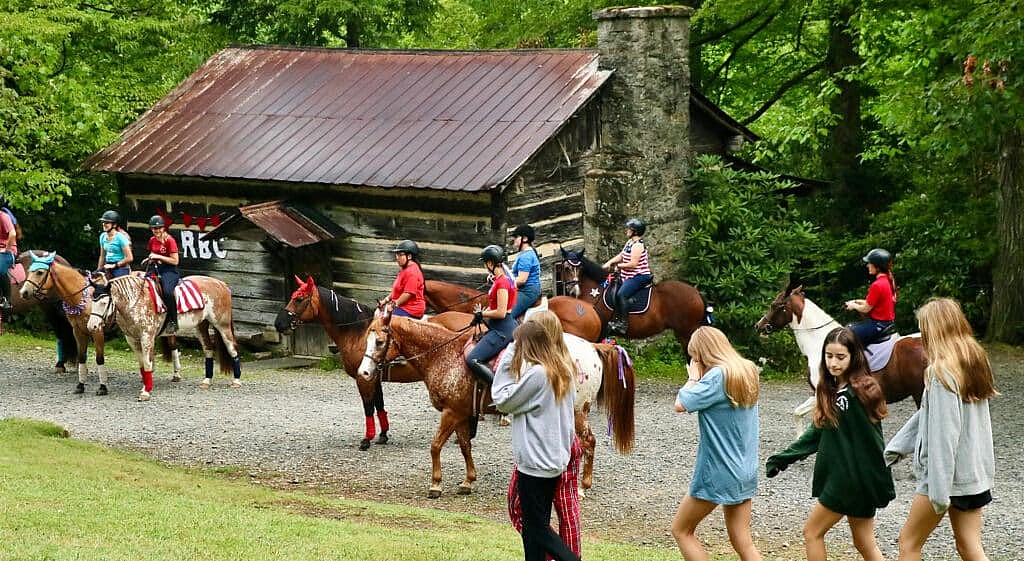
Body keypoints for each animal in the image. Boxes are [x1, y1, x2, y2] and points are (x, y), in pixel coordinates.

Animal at [18, 251, 118, 395]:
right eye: (29, 270)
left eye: (40, 272)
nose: (24, 292)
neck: (83, 297)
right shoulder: (78, 331)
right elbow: (81, 357)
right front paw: (80, 385)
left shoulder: (97, 331)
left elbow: (99, 358)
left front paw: (102, 387)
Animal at [86, 272, 241, 401]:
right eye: (92, 301)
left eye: (104, 302)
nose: (91, 326)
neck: (136, 301)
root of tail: (222, 284)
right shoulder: (132, 340)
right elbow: (142, 365)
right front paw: (145, 387)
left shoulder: (147, 337)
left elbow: (148, 363)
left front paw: (146, 392)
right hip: (201, 326)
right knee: (208, 350)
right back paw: (207, 381)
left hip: (222, 325)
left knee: (232, 349)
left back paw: (236, 381)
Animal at [274, 276, 476, 450]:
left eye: (299, 299)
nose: (278, 324)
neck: (358, 332)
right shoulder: (373, 376)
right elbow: (379, 405)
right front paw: (383, 435)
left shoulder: (363, 379)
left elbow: (368, 407)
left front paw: (367, 439)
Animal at [357, 312, 636, 498]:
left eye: (379, 342)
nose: (364, 372)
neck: (444, 354)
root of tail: (592, 347)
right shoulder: (461, 413)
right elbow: (465, 447)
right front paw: (468, 481)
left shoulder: (451, 412)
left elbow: (435, 446)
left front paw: (436, 484)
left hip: (577, 412)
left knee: (589, 443)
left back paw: (581, 486)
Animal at [558, 247, 708, 347]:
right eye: (566, 268)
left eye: (580, 268)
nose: (574, 291)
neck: (595, 292)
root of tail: (696, 293)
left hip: (686, 333)